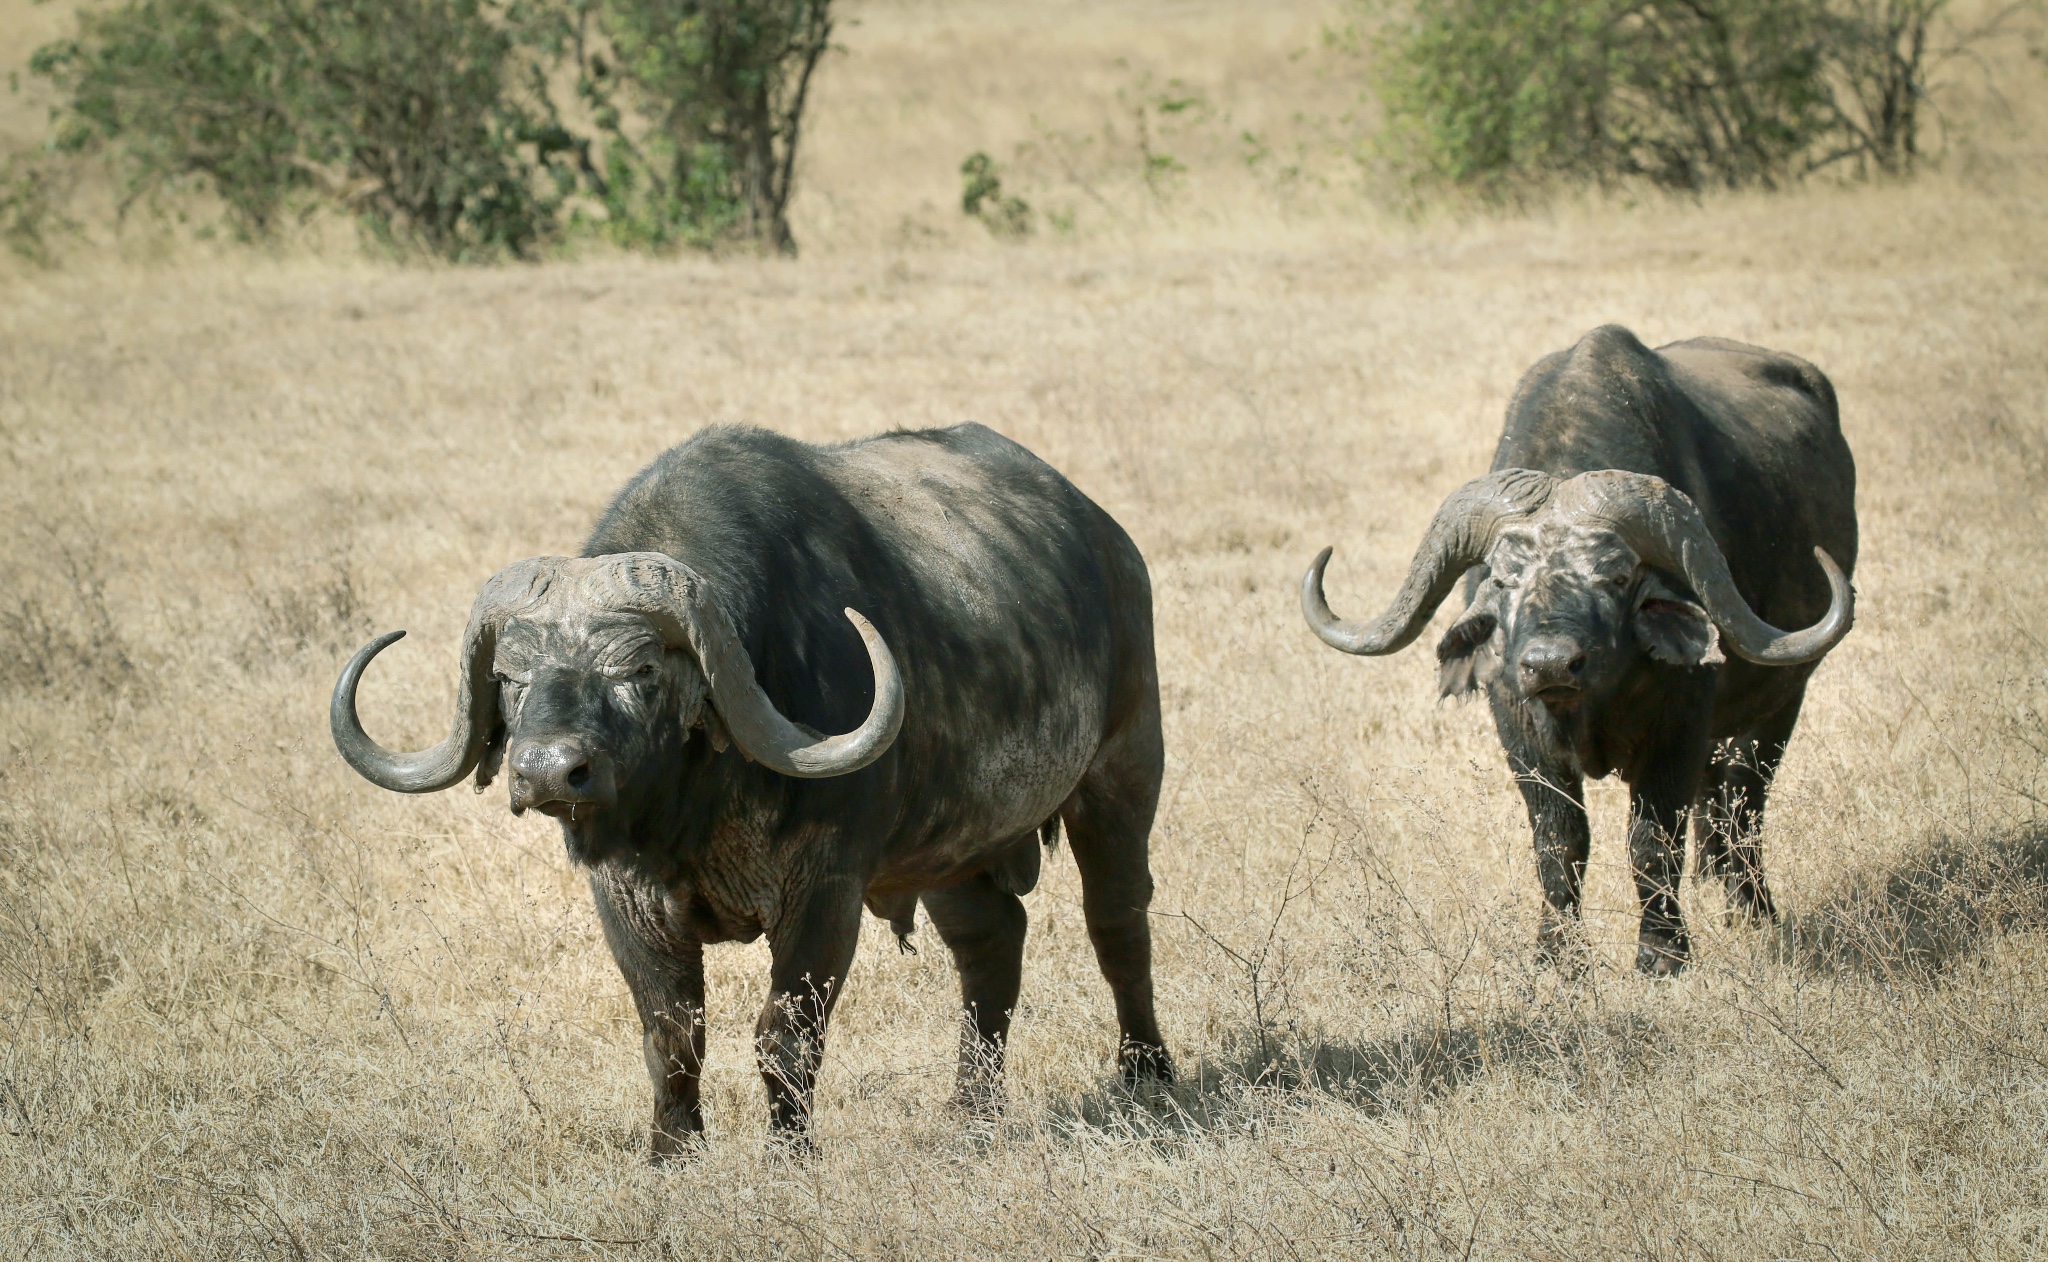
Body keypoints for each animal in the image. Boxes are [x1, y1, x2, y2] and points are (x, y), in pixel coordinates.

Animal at [329, 424, 1179, 1155]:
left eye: (640, 669)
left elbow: (785, 1034)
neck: (696, 804)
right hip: (953, 846)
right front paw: (672, 1155)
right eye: (510, 677)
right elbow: (672, 1036)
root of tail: (1106, 538)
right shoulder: (625, 898)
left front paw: (791, 1156)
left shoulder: (826, 889)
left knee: (1117, 923)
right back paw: (972, 1109)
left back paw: (1148, 1074)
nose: (547, 771)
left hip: (1123, 772)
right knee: (991, 942)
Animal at [1310, 325, 1859, 975]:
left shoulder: (1679, 730)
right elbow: (1559, 844)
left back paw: (1752, 909)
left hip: (1779, 704)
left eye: (1617, 576)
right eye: (1503, 579)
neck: (1590, 702)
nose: (1550, 664)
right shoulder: (1521, 737)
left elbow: (1652, 843)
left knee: (1743, 802)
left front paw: (1663, 956)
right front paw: (1556, 958)